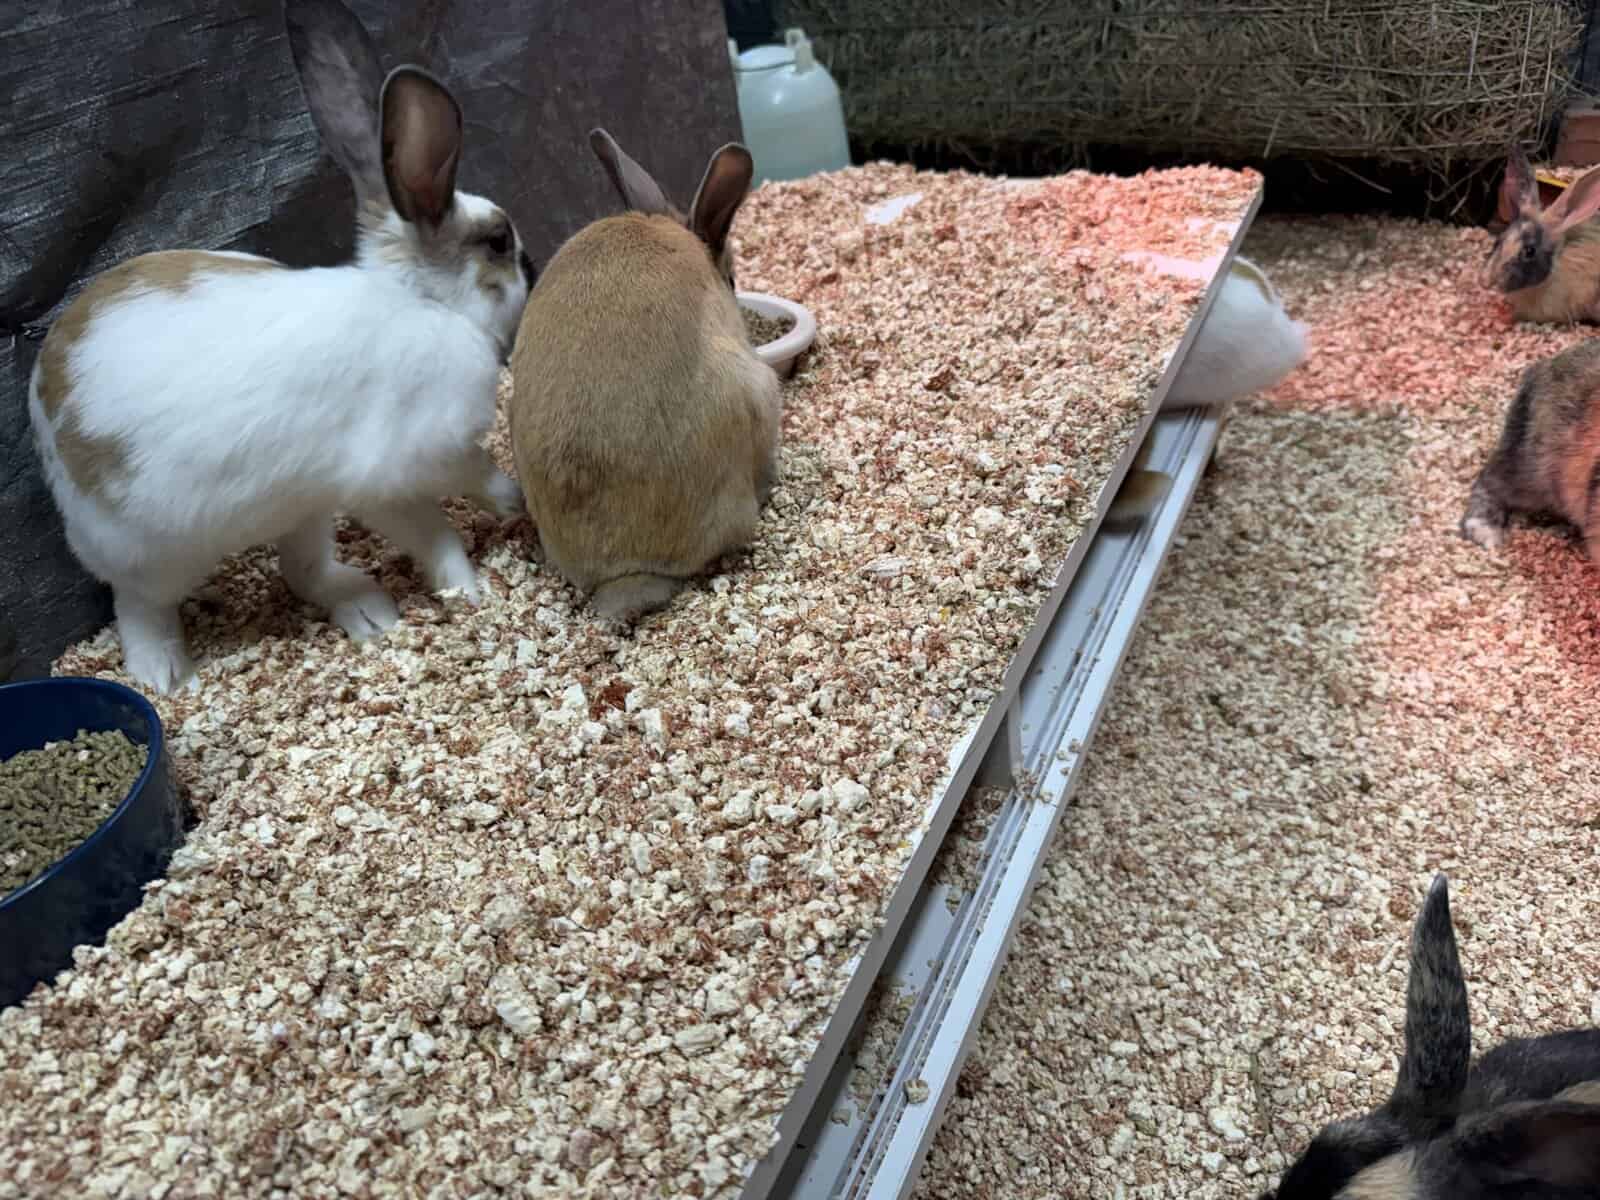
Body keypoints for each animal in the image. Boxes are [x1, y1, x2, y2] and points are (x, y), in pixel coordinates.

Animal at [26, 0, 534, 695]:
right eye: (498, 243)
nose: (532, 270)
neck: (425, 303)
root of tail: (39, 392)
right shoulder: (400, 472)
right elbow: (440, 529)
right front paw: (475, 583)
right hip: (154, 554)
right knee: (138, 605)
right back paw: (166, 677)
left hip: (300, 508)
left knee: (304, 572)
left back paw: (370, 612)